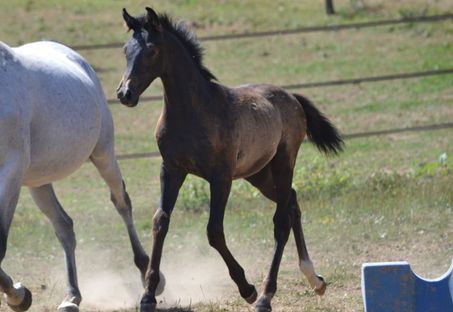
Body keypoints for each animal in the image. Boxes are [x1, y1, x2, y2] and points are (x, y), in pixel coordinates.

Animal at [0, 41, 152, 312]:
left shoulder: (10, 172)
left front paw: (18, 296)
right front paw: (19, 294)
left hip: (103, 154)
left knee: (122, 202)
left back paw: (147, 271)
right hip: (37, 181)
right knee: (64, 226)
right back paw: (71, 297)